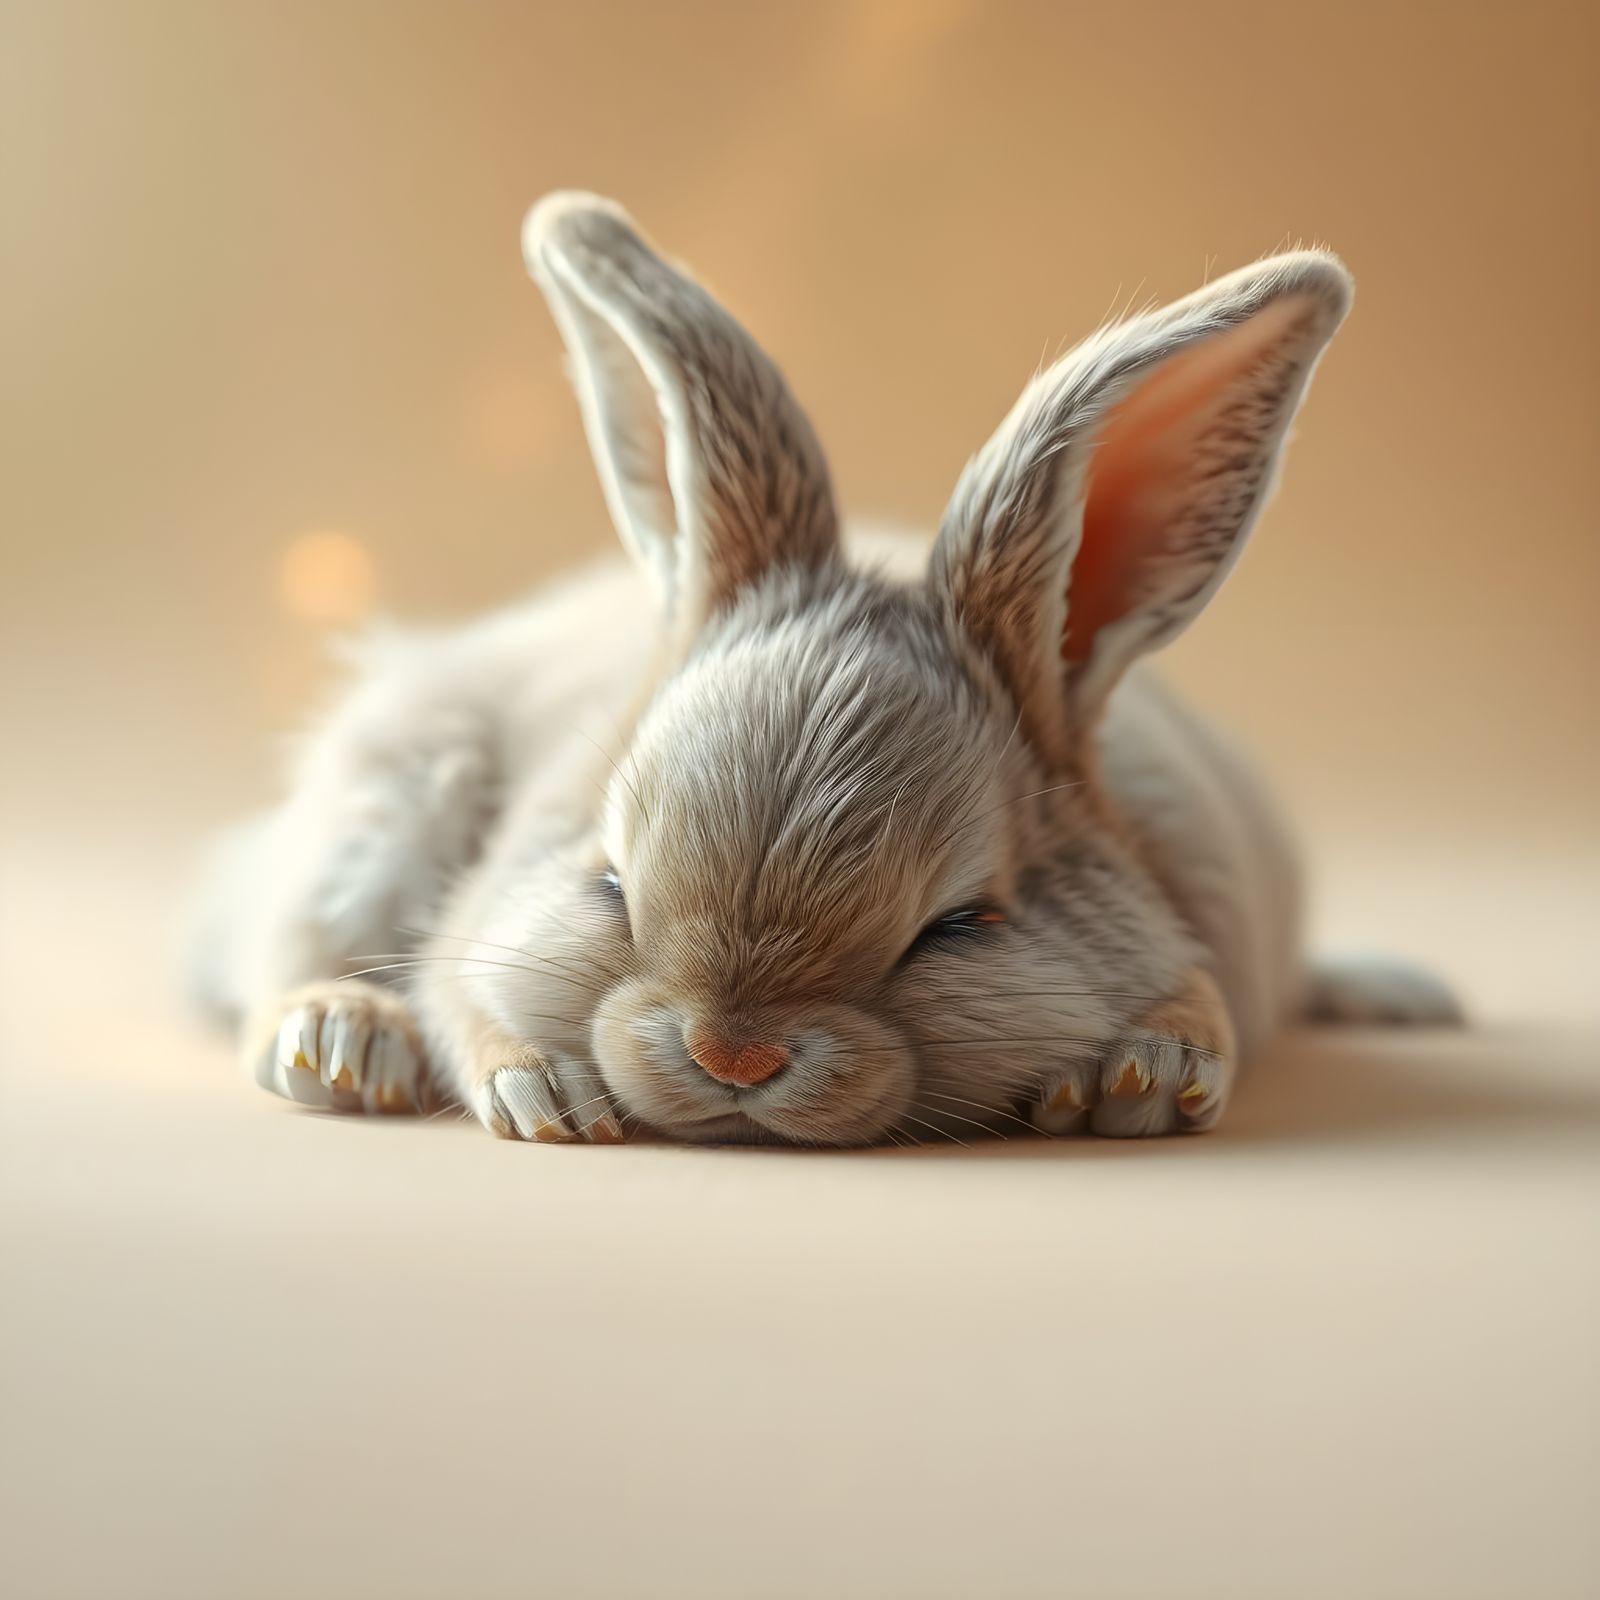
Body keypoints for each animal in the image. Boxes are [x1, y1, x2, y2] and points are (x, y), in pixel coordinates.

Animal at [191, 191, 1461, 1146]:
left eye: (960, 924)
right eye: (610, 883)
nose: (732, 1051)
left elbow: (1202, 1010)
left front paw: (1143, 1075)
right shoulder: (492, 903)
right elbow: (467, 996)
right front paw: (541, 1093)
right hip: (380, 806)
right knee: (279, 965)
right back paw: (340, 1044)